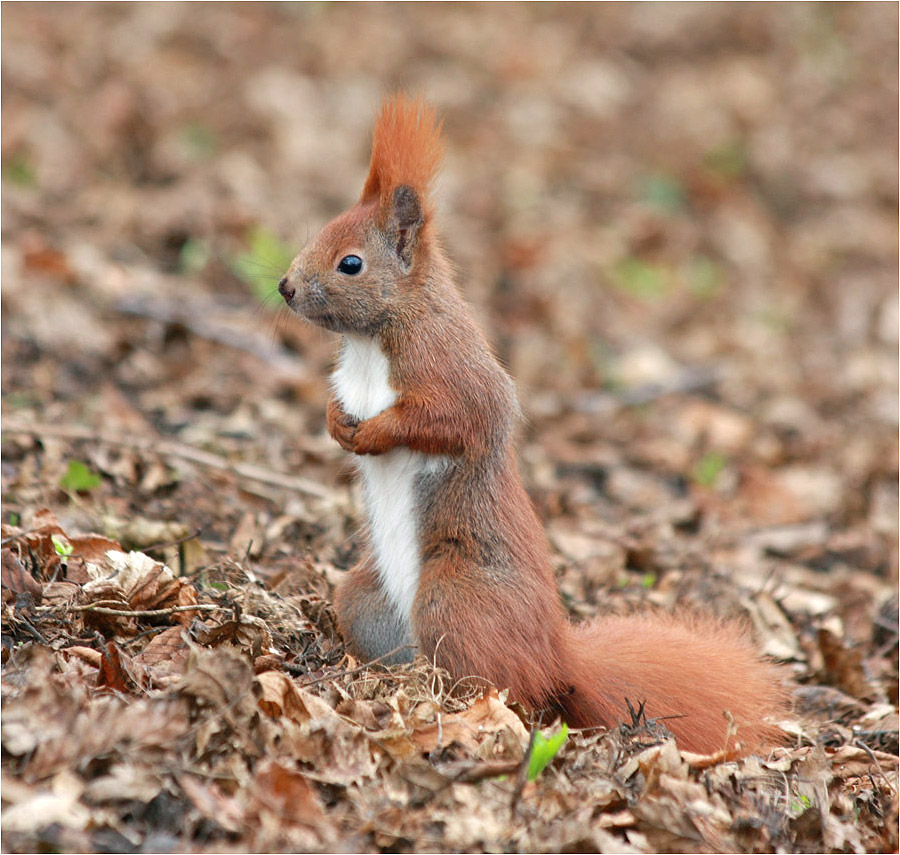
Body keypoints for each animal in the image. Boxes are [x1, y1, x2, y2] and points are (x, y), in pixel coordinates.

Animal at [278, 93, 784, 756]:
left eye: (351, 263)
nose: (285, 287)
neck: (371, 341)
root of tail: (558, 659)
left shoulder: (451, 370)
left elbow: (456, 419)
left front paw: (374, 433)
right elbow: (338, 405)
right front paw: (338, 424)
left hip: (455, 597)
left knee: (502, 687)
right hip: (366, 599)